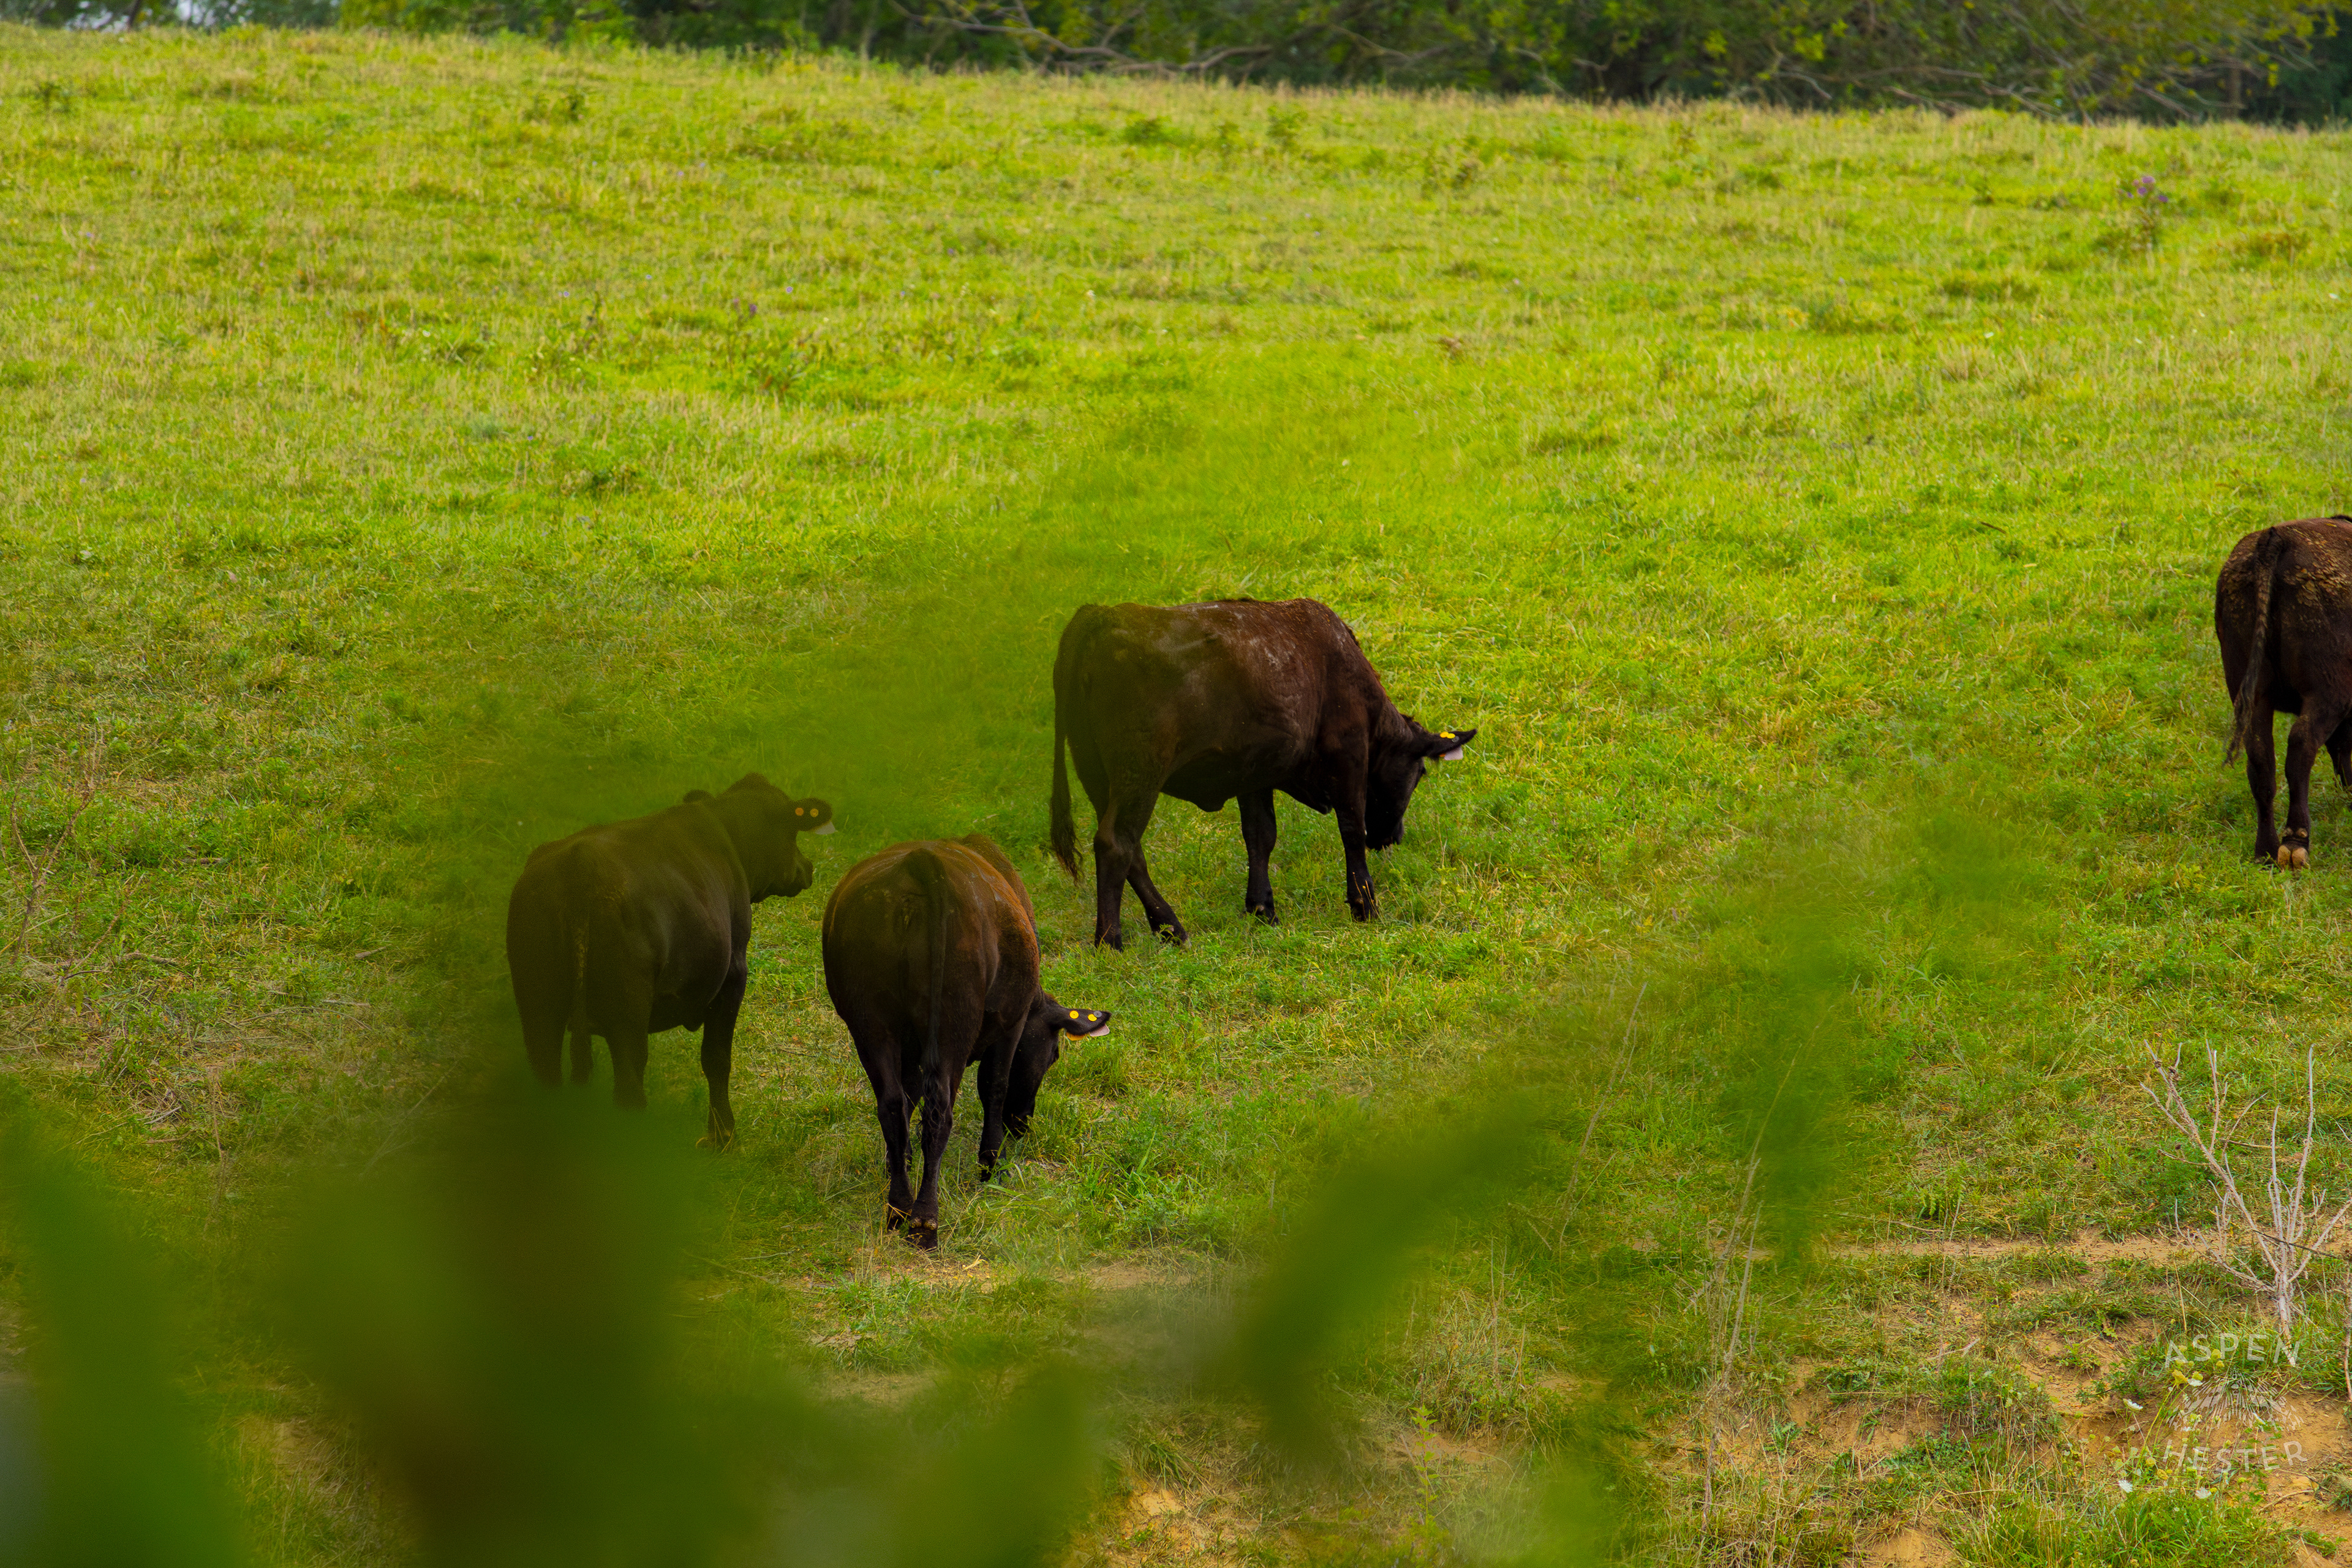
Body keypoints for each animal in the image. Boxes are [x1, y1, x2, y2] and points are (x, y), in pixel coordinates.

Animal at [505, 774, 836, 1149]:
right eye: (792, 831)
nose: (808, 867)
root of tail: (580, 864)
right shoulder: (733, 975)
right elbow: (717, 1059)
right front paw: (722, 1137)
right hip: (626, 1015)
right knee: (629, 1089)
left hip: (538, 1008)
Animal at [822, 835, 1110, 1248]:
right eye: (1054, 1054)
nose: (1022, 1124)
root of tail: (921, 861)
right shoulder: (1011, 1022)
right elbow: (994, 1086)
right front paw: (993, 1165)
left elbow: (909, 1095)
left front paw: (900, 1160)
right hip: (954, 1020)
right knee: (940, 1110)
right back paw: (925, 1221)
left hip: (870, 1022)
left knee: (892, 1104)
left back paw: (899, 1209)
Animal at [1048, 597, 1477, 949]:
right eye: (1419, 775)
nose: (1394, 836)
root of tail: (1101, 616)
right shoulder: (1349, 752)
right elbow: (1351, 831)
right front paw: (1365, 906)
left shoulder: (1254, 773)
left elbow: (1260, 836)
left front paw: (1262, 909)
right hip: (1140, 772)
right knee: (1116, 843)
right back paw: (1110, 941)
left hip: (1097, 774)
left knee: (1131, 851)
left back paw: (1170, 928)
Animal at [2218, 516, 2352, 868]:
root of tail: (2275, 540)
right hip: (2327, 692)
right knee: (2301, 746)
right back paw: (2295, 842)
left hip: (2251, 692)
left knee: (2261, 757)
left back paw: (2265, 850)